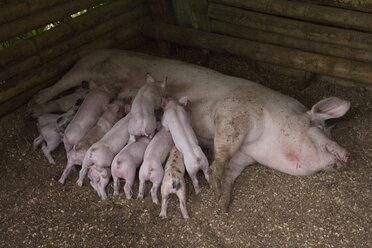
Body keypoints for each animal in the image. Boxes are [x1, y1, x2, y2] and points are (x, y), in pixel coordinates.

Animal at [30, 50, 350, 211]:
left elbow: (232, 170)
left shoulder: (245, 156)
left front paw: (222, 201)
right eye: (319, 126)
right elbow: (222, 150)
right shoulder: (234, 114)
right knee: (57, 85)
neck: (263, 137)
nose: (348, 154)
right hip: (85, 66)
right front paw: (214, 181)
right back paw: (33, 106)